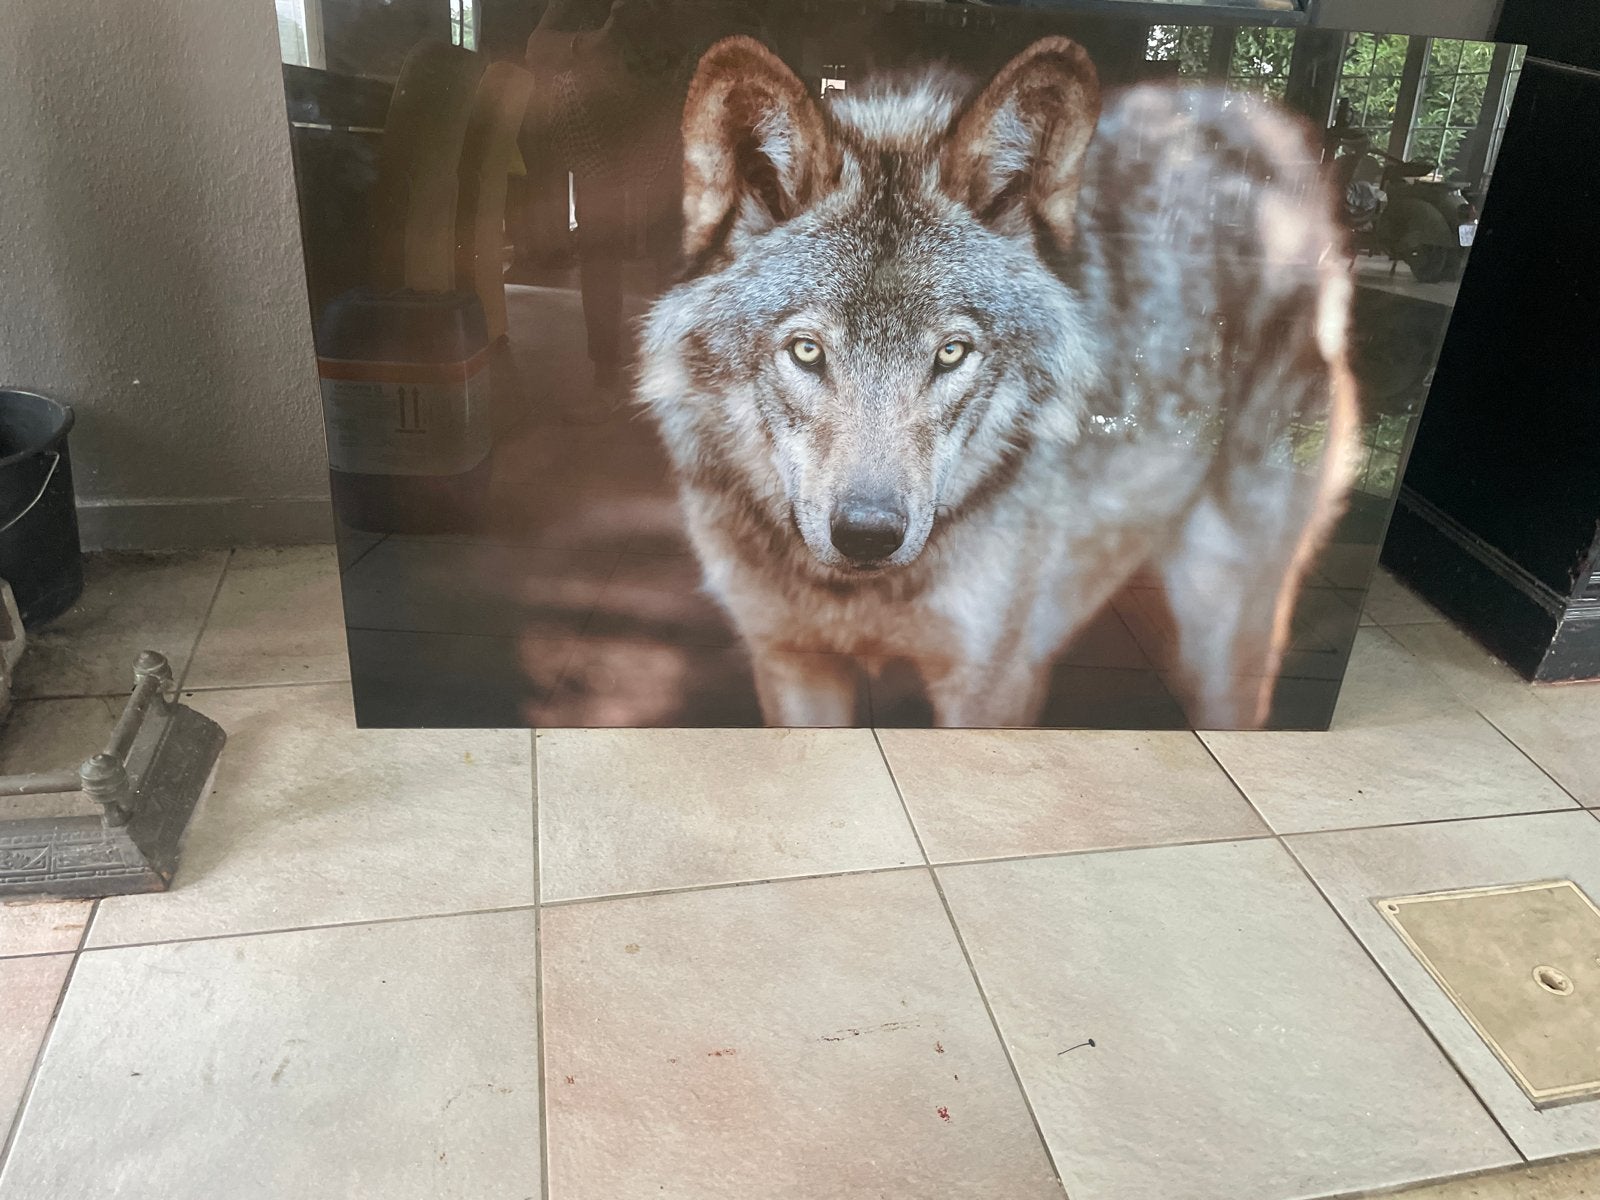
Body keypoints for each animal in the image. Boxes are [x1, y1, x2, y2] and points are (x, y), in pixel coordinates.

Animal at [636, 35, 1358, 729]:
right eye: (807, 351)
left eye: (951, 353)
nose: (868, 534)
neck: (858, 596)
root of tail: (1264, 124)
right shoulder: (791, 663)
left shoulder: (989, 681)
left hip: (1221, 628)